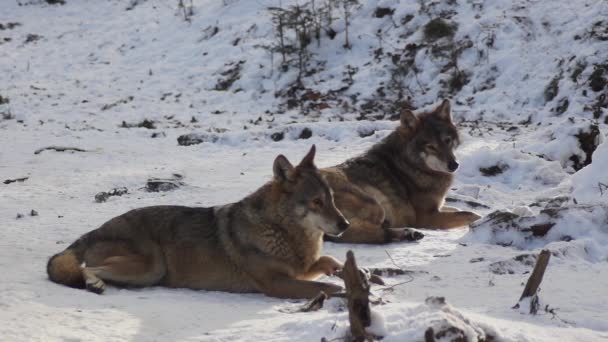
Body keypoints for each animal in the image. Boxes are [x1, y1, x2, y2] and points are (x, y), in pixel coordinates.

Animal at [320, 99, 482, 243]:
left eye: (447, 141)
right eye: (430, 147)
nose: (454, 165)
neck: (410, 166)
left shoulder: (438, 207)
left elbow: (457, 208)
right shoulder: (426, 217)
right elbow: (471, 214)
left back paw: (408, 233)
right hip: (375, 206)